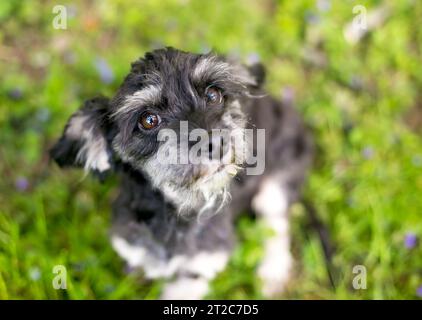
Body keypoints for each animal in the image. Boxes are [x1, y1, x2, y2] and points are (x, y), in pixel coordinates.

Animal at [50, 47, 314, 300]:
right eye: (148, 120)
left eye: (213, 94)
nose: (217, 143)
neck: (173, 214)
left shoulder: (200, 265)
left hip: (274, 191)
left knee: (277, 226)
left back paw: (273, 271)